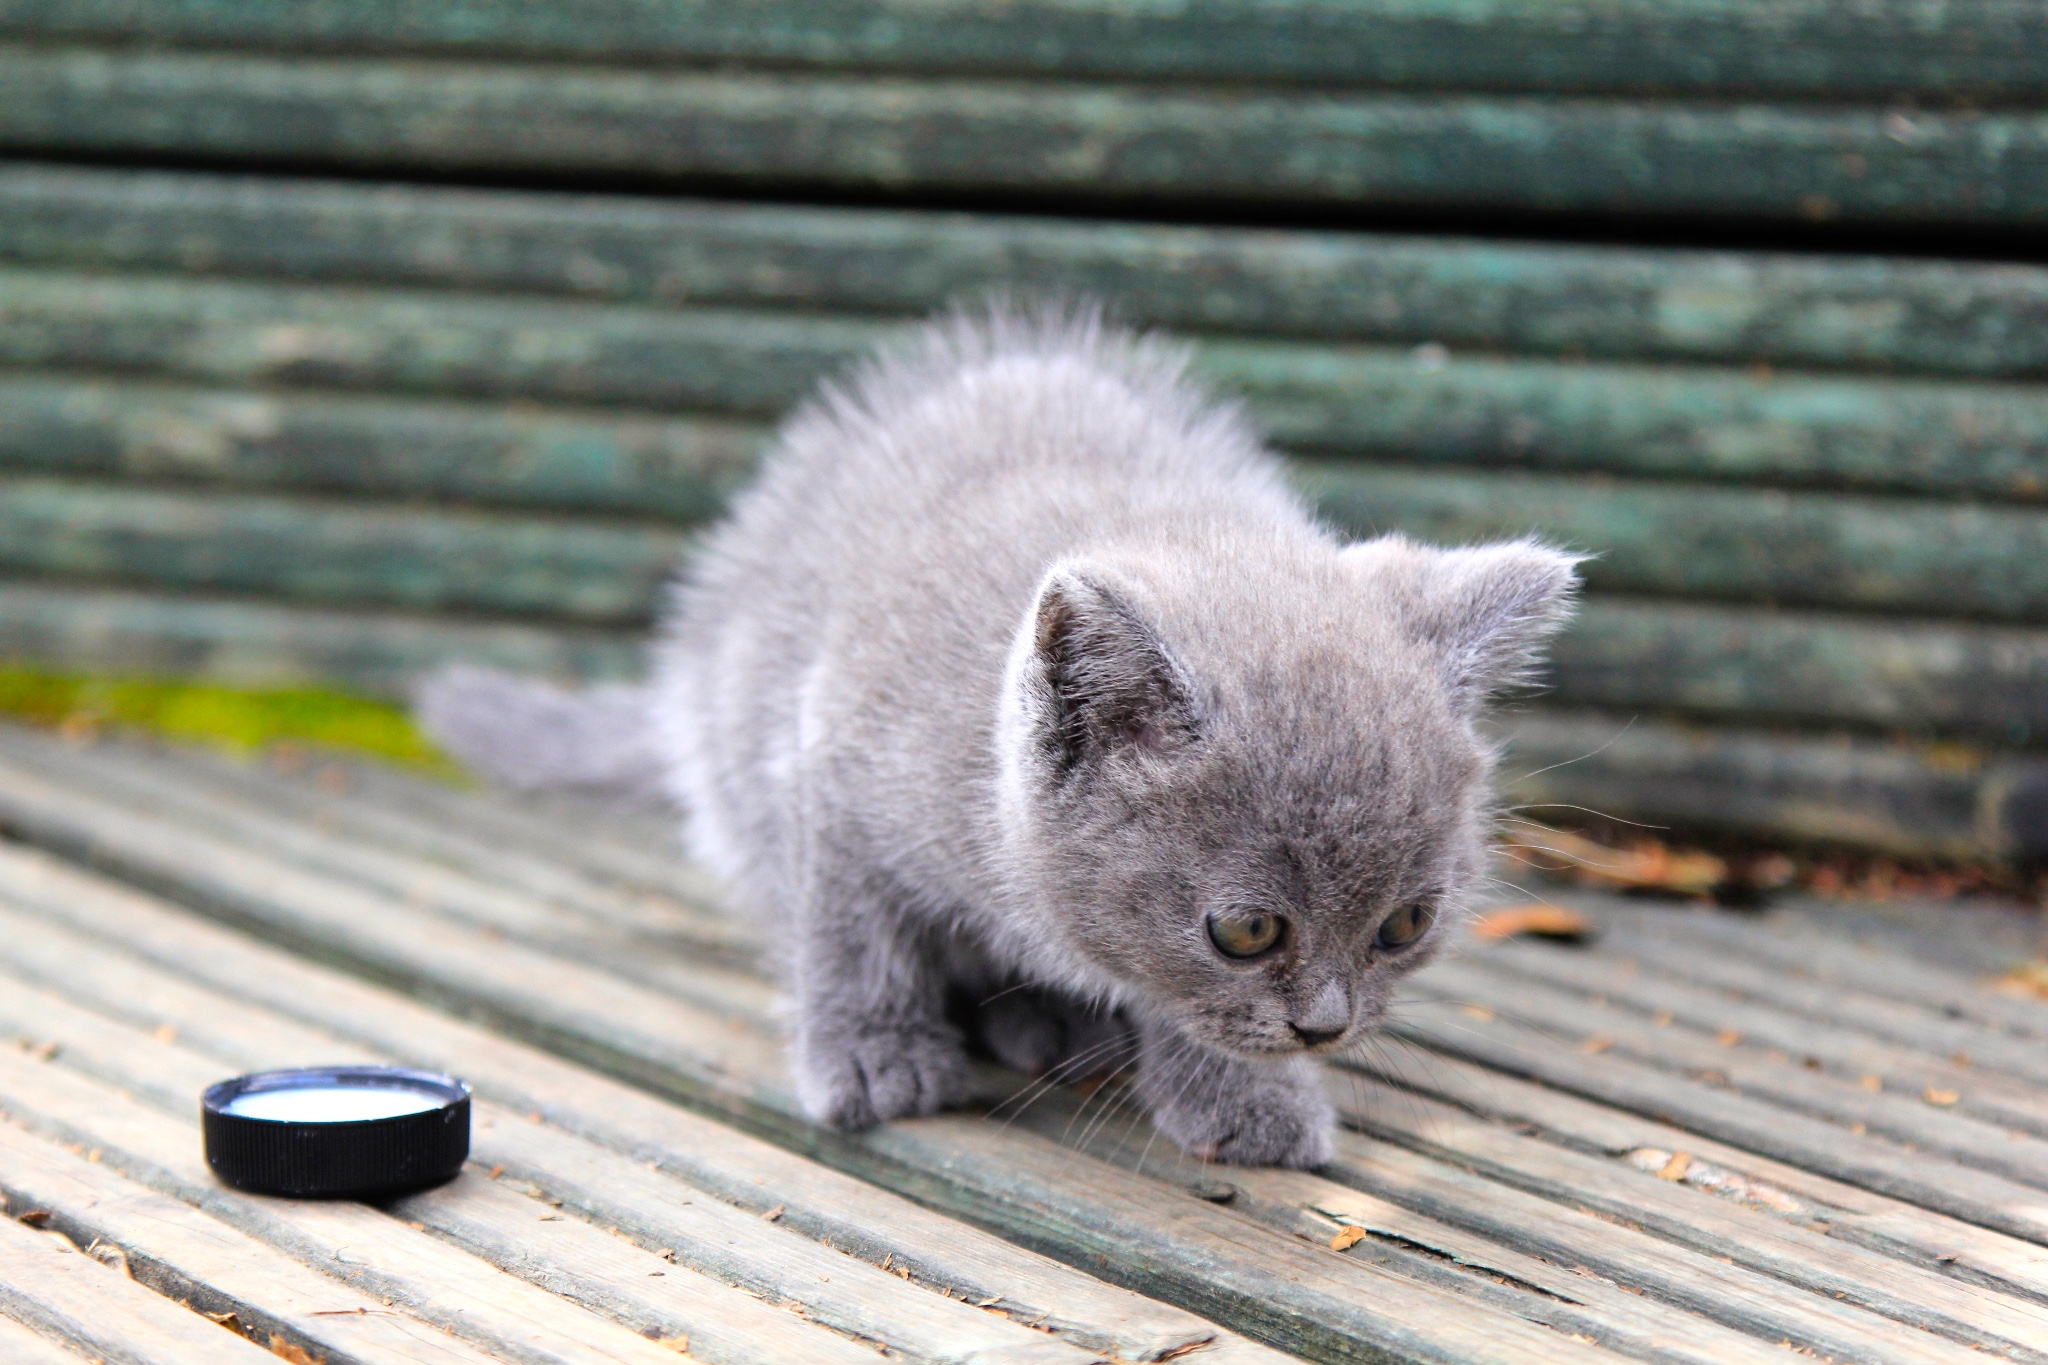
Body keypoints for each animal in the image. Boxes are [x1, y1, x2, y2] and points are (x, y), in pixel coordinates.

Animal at [423, 304, 1581, 1170]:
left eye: (1405, 925)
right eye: (1246, 931)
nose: (1326, 1027)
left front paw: (1248, 1096)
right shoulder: (831, 759)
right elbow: (850, 925)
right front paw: (871, 1054)